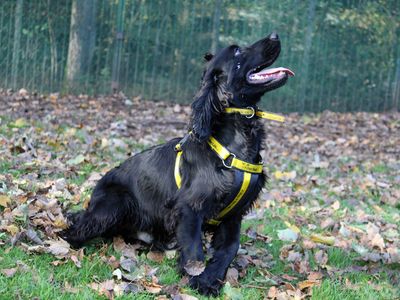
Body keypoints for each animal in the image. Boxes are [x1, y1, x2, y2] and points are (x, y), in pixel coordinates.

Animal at [62, 33, 294, 296]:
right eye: (236, 52)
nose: (275, 35)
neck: (236, 142)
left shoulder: (233, 216)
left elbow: (229, 249)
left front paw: (210, 280)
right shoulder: (189, 208)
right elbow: (194, 252)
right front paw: (197, 279)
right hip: (115, 205)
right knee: (75, 229)